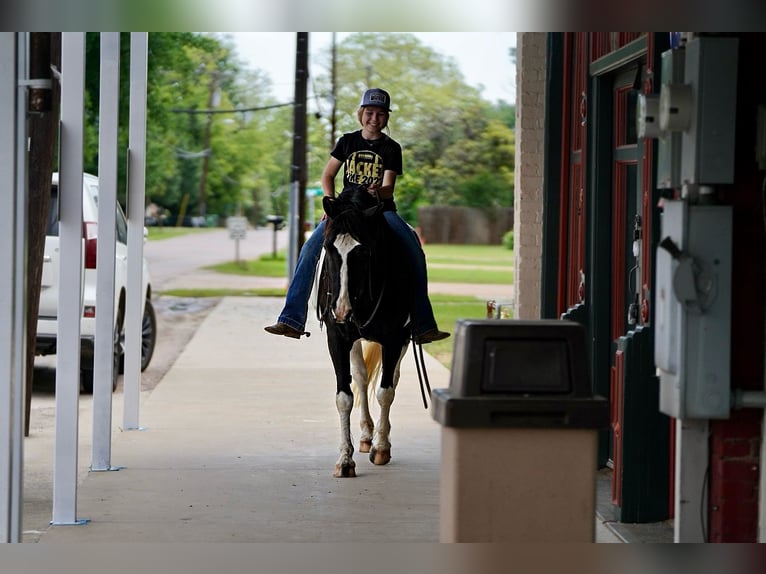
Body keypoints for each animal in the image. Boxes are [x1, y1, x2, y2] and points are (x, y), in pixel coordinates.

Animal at [316, 187, 414, 480]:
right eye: (329, 248)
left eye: (364, 251)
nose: (341, 309)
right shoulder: (337, 339)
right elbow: (344, 396)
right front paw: (345, 460)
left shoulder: (394, 338)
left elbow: (385, 392)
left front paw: (381, 449)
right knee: (360, 376)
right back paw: (366, 435)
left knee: (392, 378)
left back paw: (381, 436)